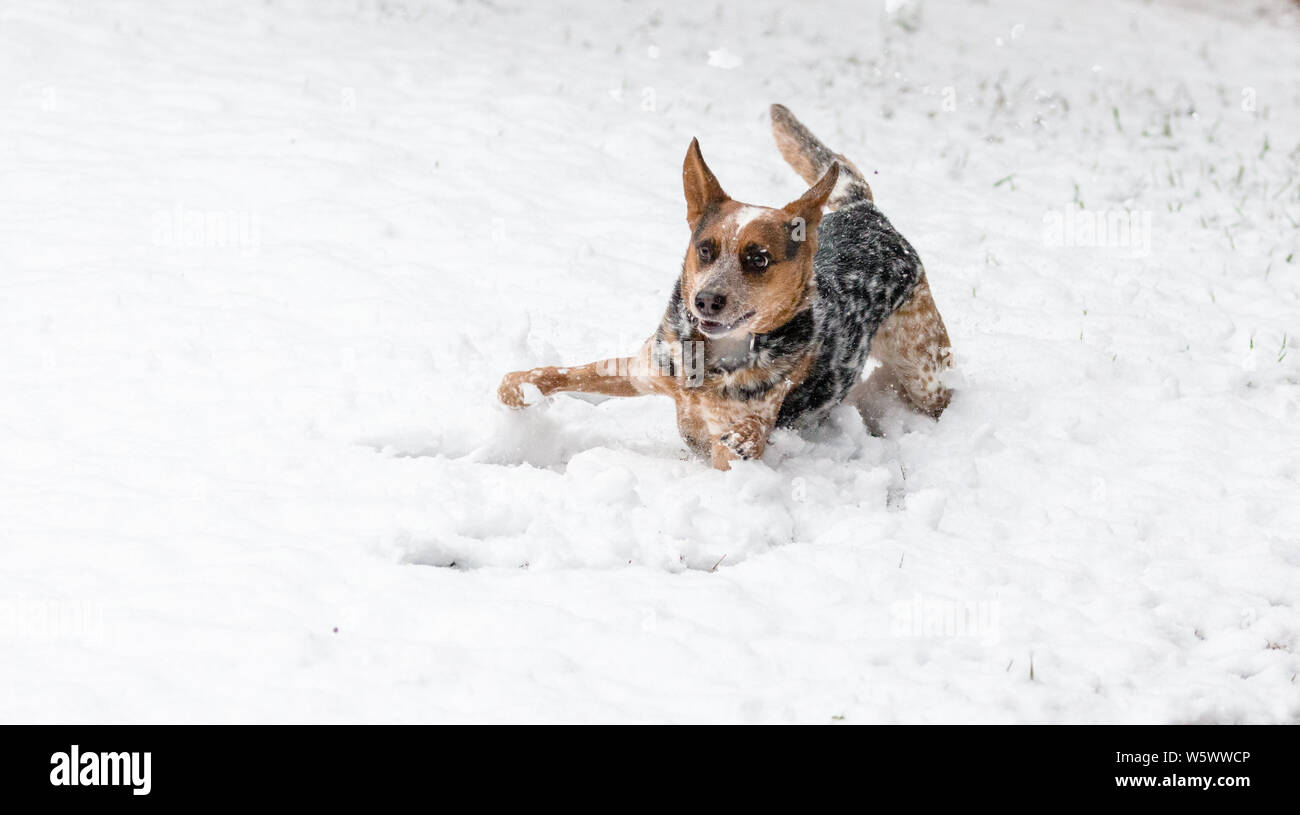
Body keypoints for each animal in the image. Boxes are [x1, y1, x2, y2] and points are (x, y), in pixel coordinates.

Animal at [496, 103, 956, 473]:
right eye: (705, 248)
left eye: (759, 259)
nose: (706, 301)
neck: (711, 366)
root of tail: (866, 212)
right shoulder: (643, 370)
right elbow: (562, 373)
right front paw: (518, 388)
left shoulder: (735, 441)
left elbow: (742, 437)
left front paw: (745, 436)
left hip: (925, 370)